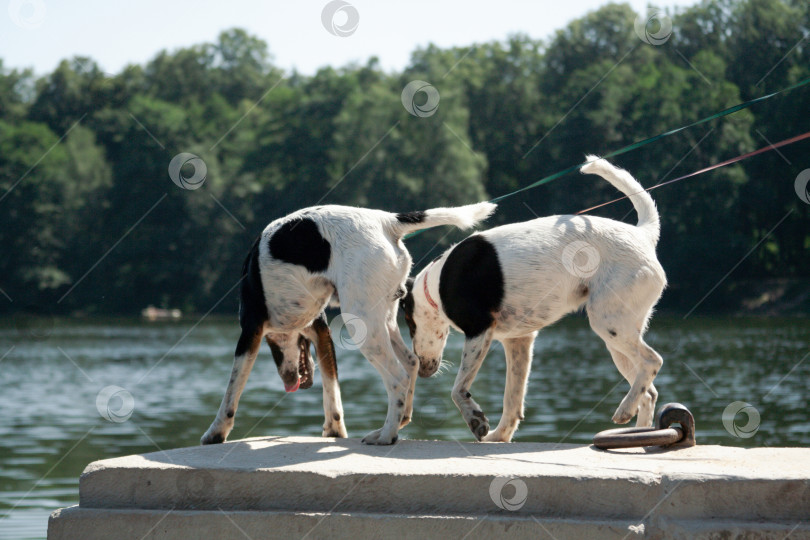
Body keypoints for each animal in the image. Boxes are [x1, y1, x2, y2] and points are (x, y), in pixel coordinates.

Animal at [200, 200, 492, 446]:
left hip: (362, 323)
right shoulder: (322, 332)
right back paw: (397, 423)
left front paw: (217, 431)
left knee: (397, 377)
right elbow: (333, 393)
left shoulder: (250, 332)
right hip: (384, 319)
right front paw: (334, 430)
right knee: (410, 364)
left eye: (271, 348)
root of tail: (387, 220)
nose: (289, 381)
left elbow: (232, 390)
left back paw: (386, 435)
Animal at [400, 156, 664, 442]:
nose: (422, 371)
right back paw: (638, 431)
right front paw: (499, 437)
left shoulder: (479, 331)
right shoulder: (518, 340)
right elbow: (512, 401)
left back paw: (625, 410)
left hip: (608, 325)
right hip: (618, 337)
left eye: (409, 323)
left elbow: (458, 389)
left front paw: (475, 419)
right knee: (649, 392)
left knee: (653, 361)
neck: (435, 284)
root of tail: (642, 235)